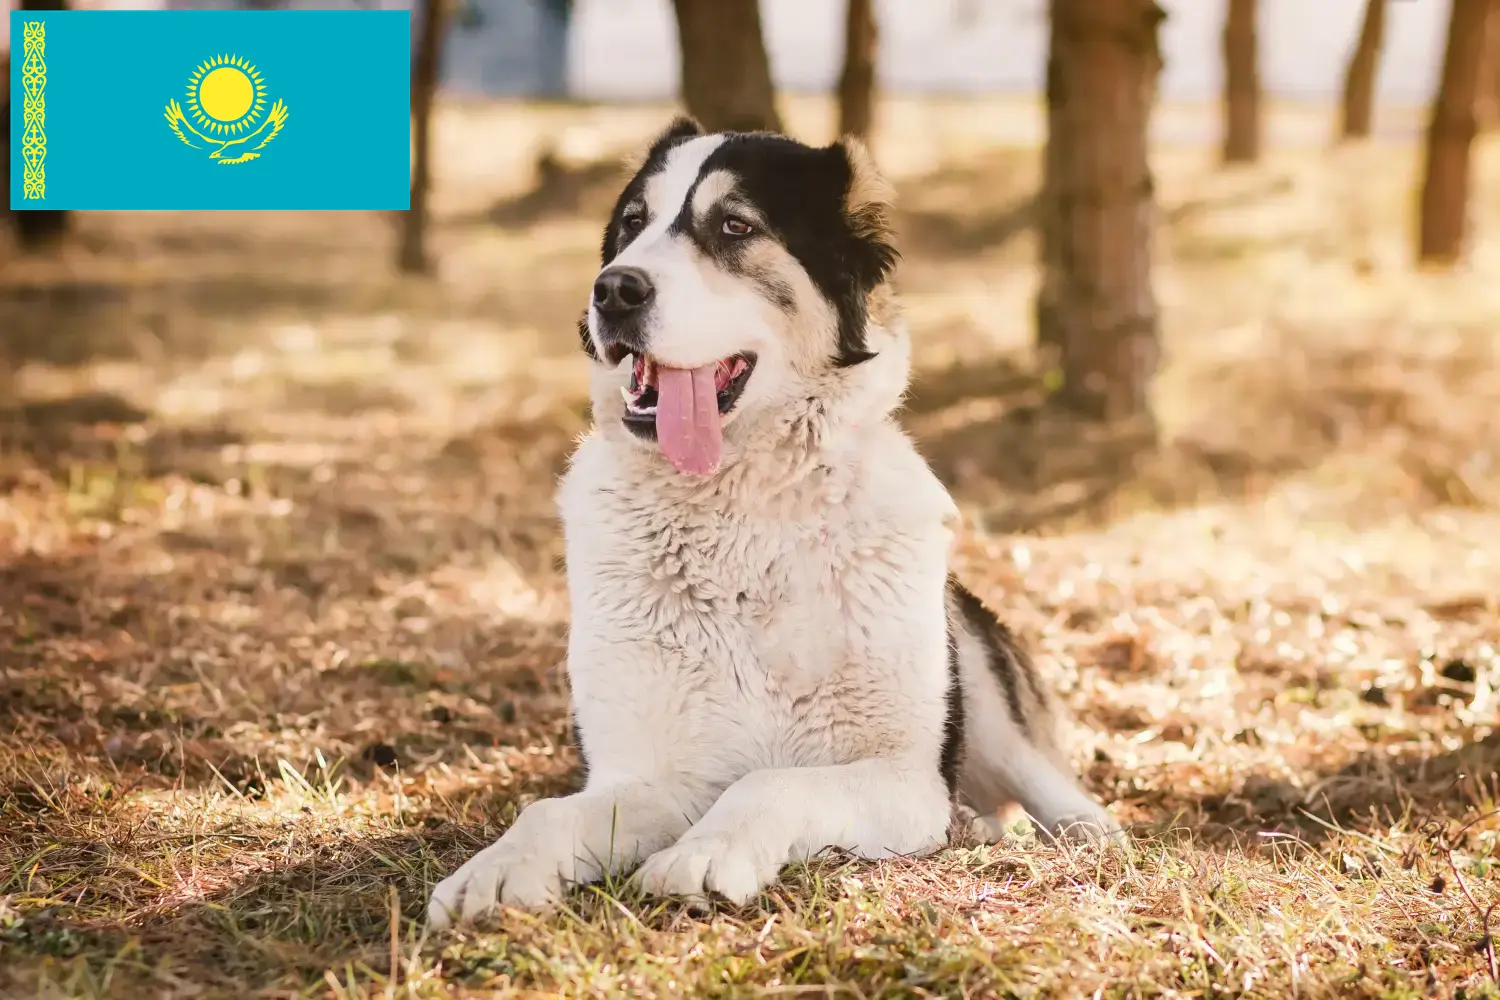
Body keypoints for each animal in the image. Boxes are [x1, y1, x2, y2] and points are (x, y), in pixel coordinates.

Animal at [423, 119, 1116, 929]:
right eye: (631, 224)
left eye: (734, 226)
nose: (614, 289)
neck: (740, 515)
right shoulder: (653, 775)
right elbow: (550, 812)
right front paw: (496, 872)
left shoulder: (907, 776)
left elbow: (771, 783)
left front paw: (704, 855)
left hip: (983, 691)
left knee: (1050, 788)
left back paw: (1084, 834)